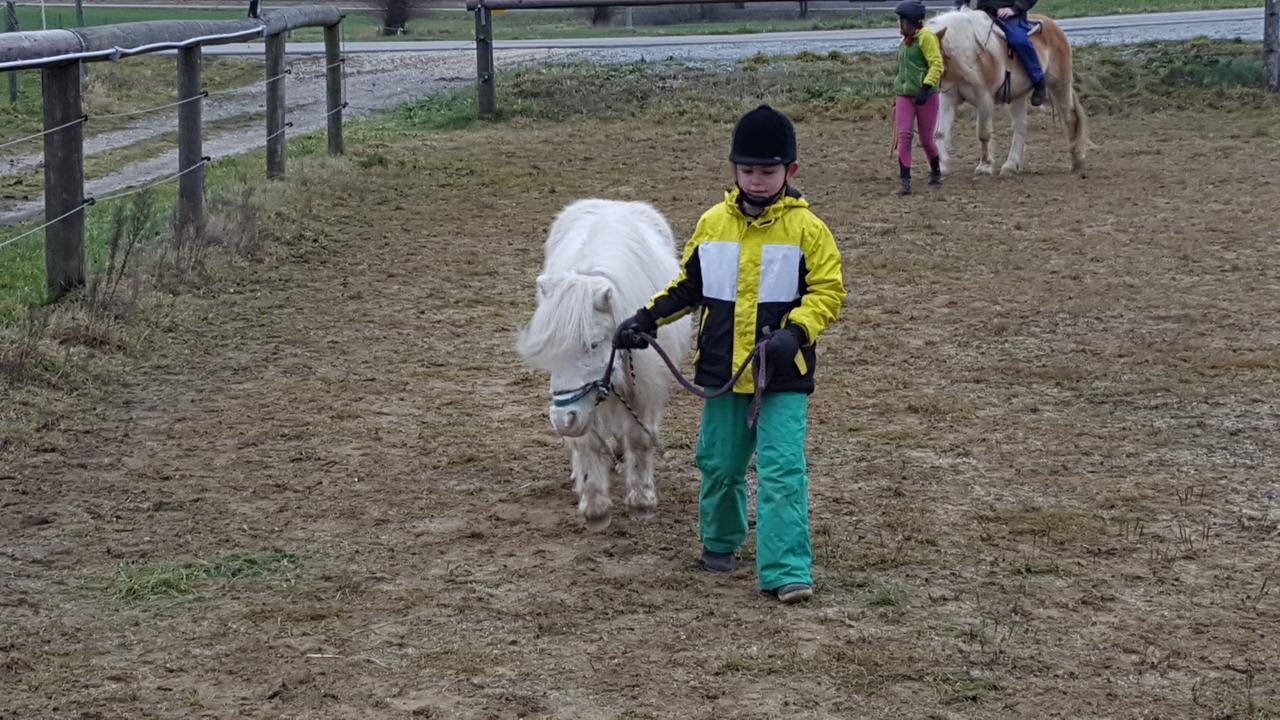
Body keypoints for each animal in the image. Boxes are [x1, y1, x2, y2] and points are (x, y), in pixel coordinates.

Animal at [514, 198, 691, 530]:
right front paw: (595, 506)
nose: (562, 421)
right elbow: (588, 444)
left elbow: (639, 439)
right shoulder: (581, 408)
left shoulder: (644, 388)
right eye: (551, 351)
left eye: (594, 344)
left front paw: (642, 501)